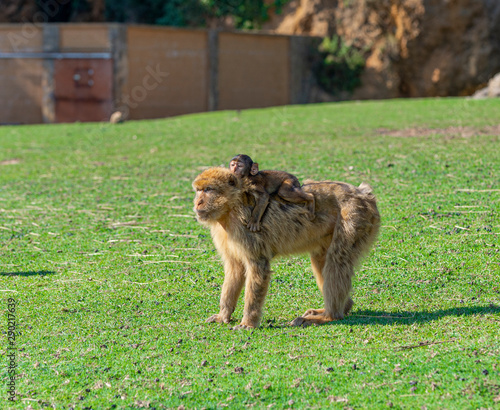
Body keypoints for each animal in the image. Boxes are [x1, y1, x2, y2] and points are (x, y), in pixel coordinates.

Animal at [193, 165, 380, 328]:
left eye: (208, 190)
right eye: (198, 190)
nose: (197, 203)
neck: (230, 209)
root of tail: (363, 193)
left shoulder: (245, 231)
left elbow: (258, 267)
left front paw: (248, 323)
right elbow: (235, 269)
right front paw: (223, 315)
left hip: (355, 215)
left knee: (337, 260)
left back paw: (329, 316)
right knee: (321, 259)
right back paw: (339, 308)